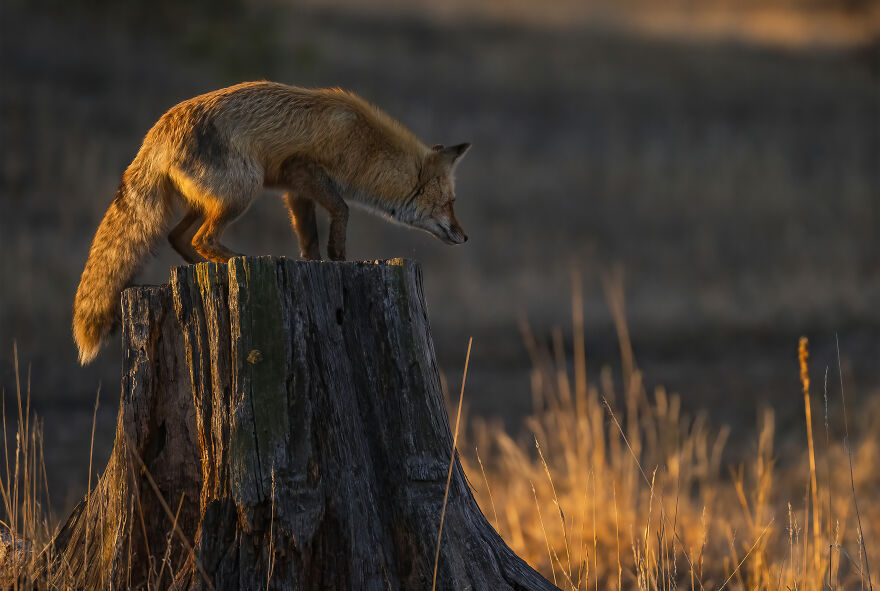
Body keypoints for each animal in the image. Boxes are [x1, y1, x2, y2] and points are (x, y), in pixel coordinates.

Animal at [73, 81, 471, 365]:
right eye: (450, 204)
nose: (465, 237)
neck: (365, 145)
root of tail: (157, 131)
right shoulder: (304, 169)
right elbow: (342, 210)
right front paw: (338, 254)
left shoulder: (296, 191)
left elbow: (309, 240)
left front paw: (317, 263)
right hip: (242, 190)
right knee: (203, 239)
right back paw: (239, 260)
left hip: (209, 202)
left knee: (177, 237)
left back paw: (206, 268)